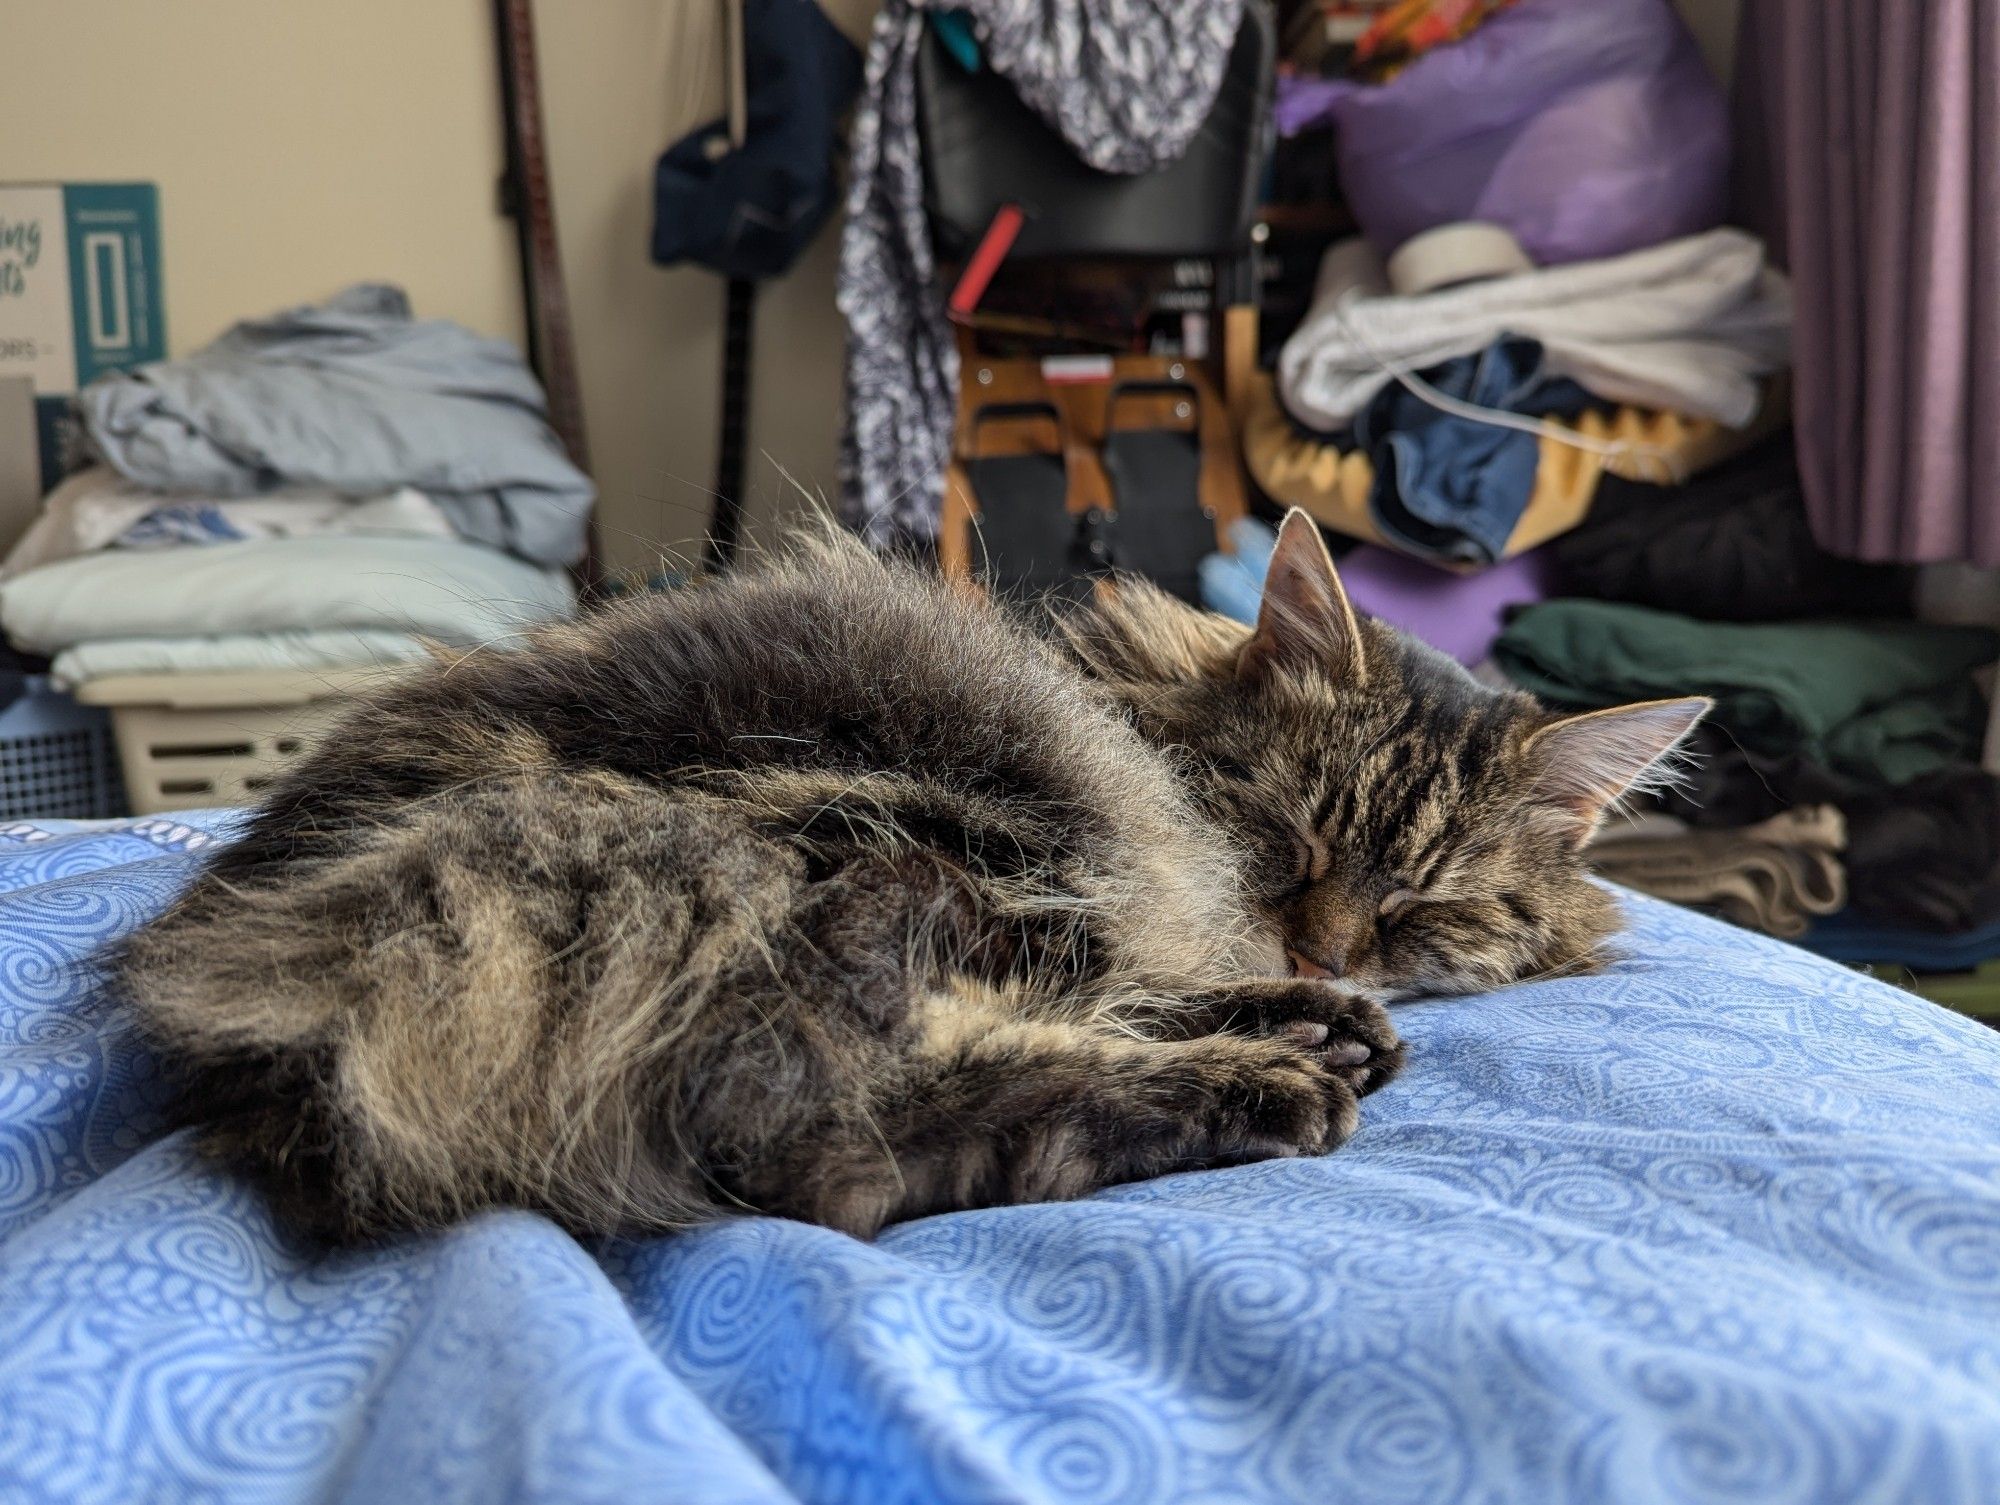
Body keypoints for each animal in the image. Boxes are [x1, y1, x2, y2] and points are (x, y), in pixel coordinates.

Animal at [113, 512, 1704, 1240]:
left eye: (1425, 904)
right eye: (1292, 836)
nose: (1323, 949)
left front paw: (1323, 1001)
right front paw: (1279, 1008)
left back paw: (1306, 1037)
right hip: (916, 851)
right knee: (833, 1141)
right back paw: (1268, 1077)